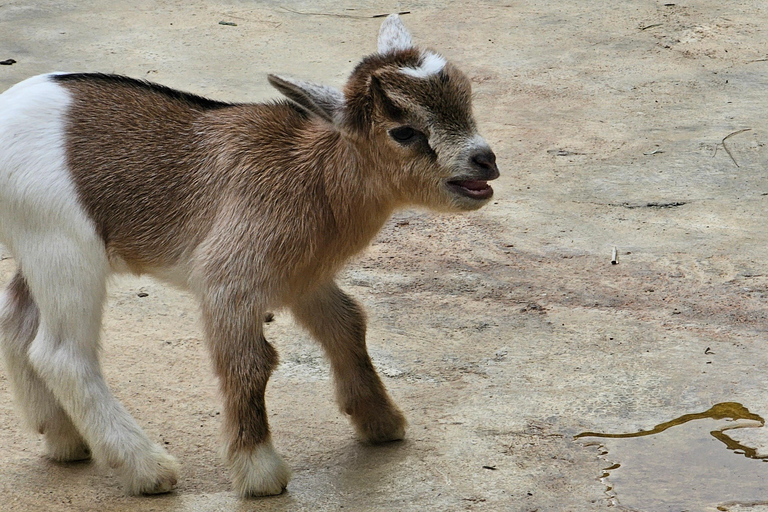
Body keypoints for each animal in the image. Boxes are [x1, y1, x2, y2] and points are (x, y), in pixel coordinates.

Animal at [0, 15, 498, 496]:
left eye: (466, 100)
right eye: (403, 131)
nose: (485, 161)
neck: (313, 176)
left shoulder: (304, 276)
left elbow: (347, 324)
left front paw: (380, 421)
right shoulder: (228, 279)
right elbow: (251, 362)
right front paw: (260, 473)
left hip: (38, 246)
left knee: (16, 320)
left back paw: (63, 438)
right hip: (64, 246)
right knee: (61, 354)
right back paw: (148, 469)